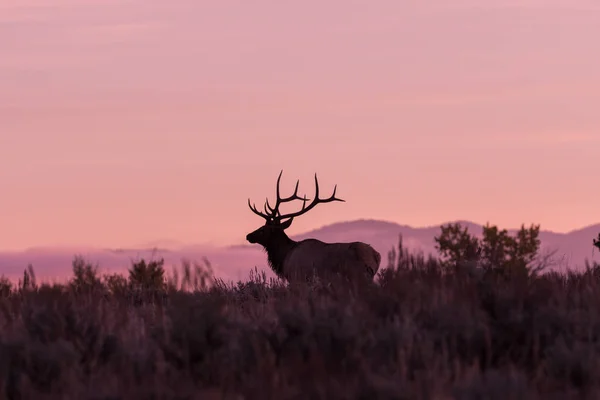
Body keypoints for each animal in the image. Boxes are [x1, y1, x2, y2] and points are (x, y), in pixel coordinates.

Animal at [247, 170, 380, 282]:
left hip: (356, 275)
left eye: (263, 229)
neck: (284, 257)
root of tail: (376, 256)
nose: (248, 236)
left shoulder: (298, 278)